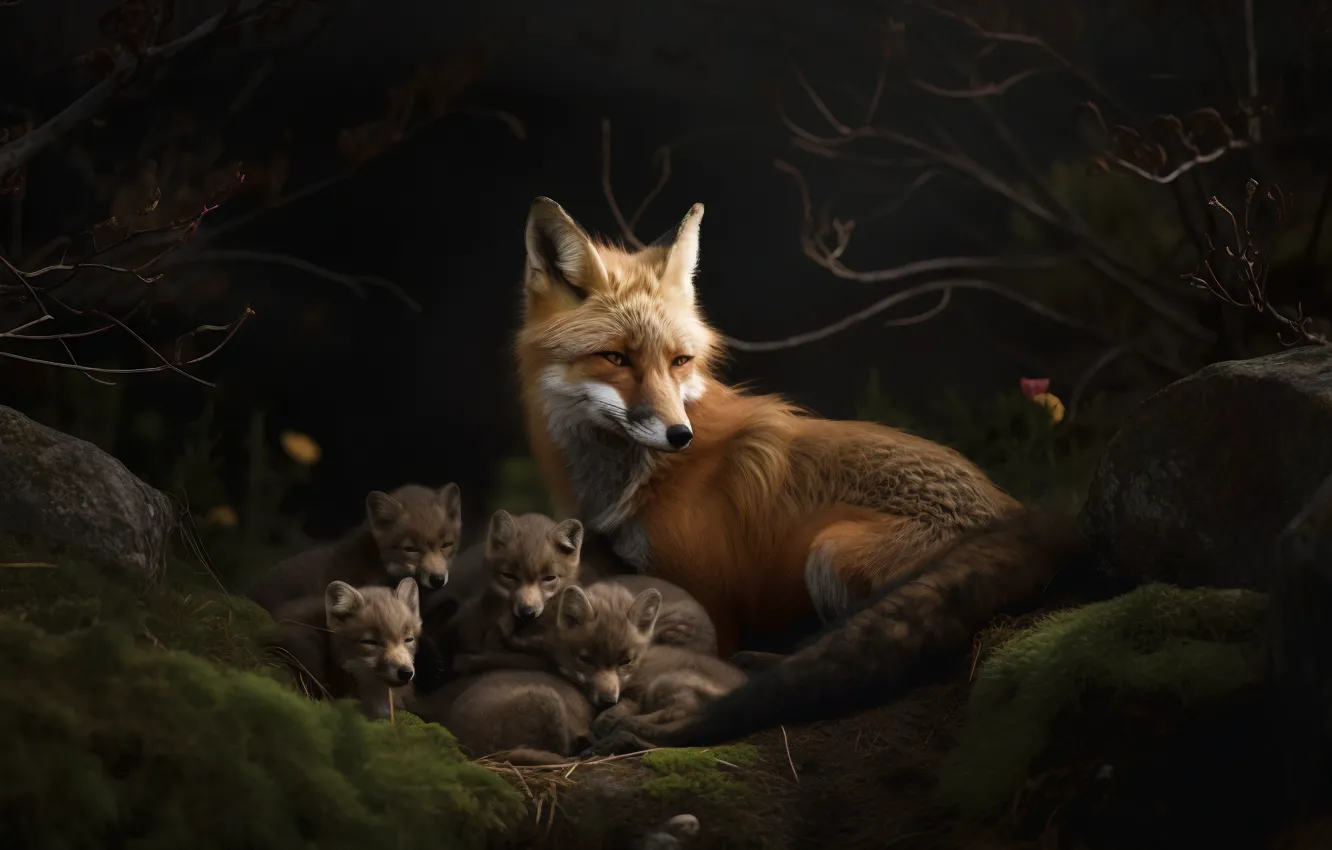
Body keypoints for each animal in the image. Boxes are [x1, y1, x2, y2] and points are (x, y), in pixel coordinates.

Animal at [514, 196, 1093, 735]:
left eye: (679, 362)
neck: (634, 481)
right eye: (616, 358)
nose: (680, 435)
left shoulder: (709, 600)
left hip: (830, 550)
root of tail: (1031, 518)